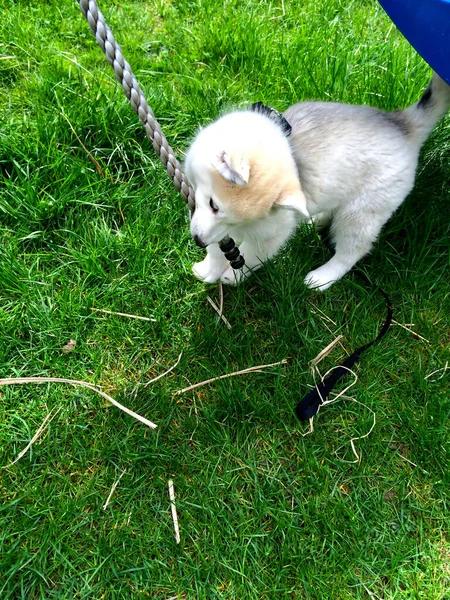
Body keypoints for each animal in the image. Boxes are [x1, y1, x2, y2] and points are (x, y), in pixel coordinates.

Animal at [185, 74, 448, 290]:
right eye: (213, 205)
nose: (198, 241)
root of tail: (404, 124)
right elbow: (219, 247)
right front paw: (209, 269)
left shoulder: (271, 234)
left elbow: (250, 256)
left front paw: (233, 276)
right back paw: (314, 221)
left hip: (360, 215)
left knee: (353, 251)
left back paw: (322, 277)